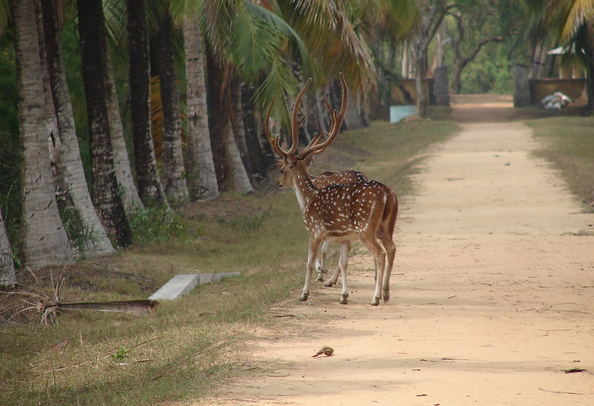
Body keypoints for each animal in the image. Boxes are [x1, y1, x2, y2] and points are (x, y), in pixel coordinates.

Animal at [264, 73, 398, 304]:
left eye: (282, 169)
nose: (279, 182)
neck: (308, 199)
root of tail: (388, 194)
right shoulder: (343, 237)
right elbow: (344, 262)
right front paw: (343, 295)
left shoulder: (314, 231)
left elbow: (309, 262)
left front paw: (304, 293)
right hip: (385, 227)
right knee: (391, 248)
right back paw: (386, 293)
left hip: (365, 227)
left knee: (379, 253)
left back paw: (375, 297)